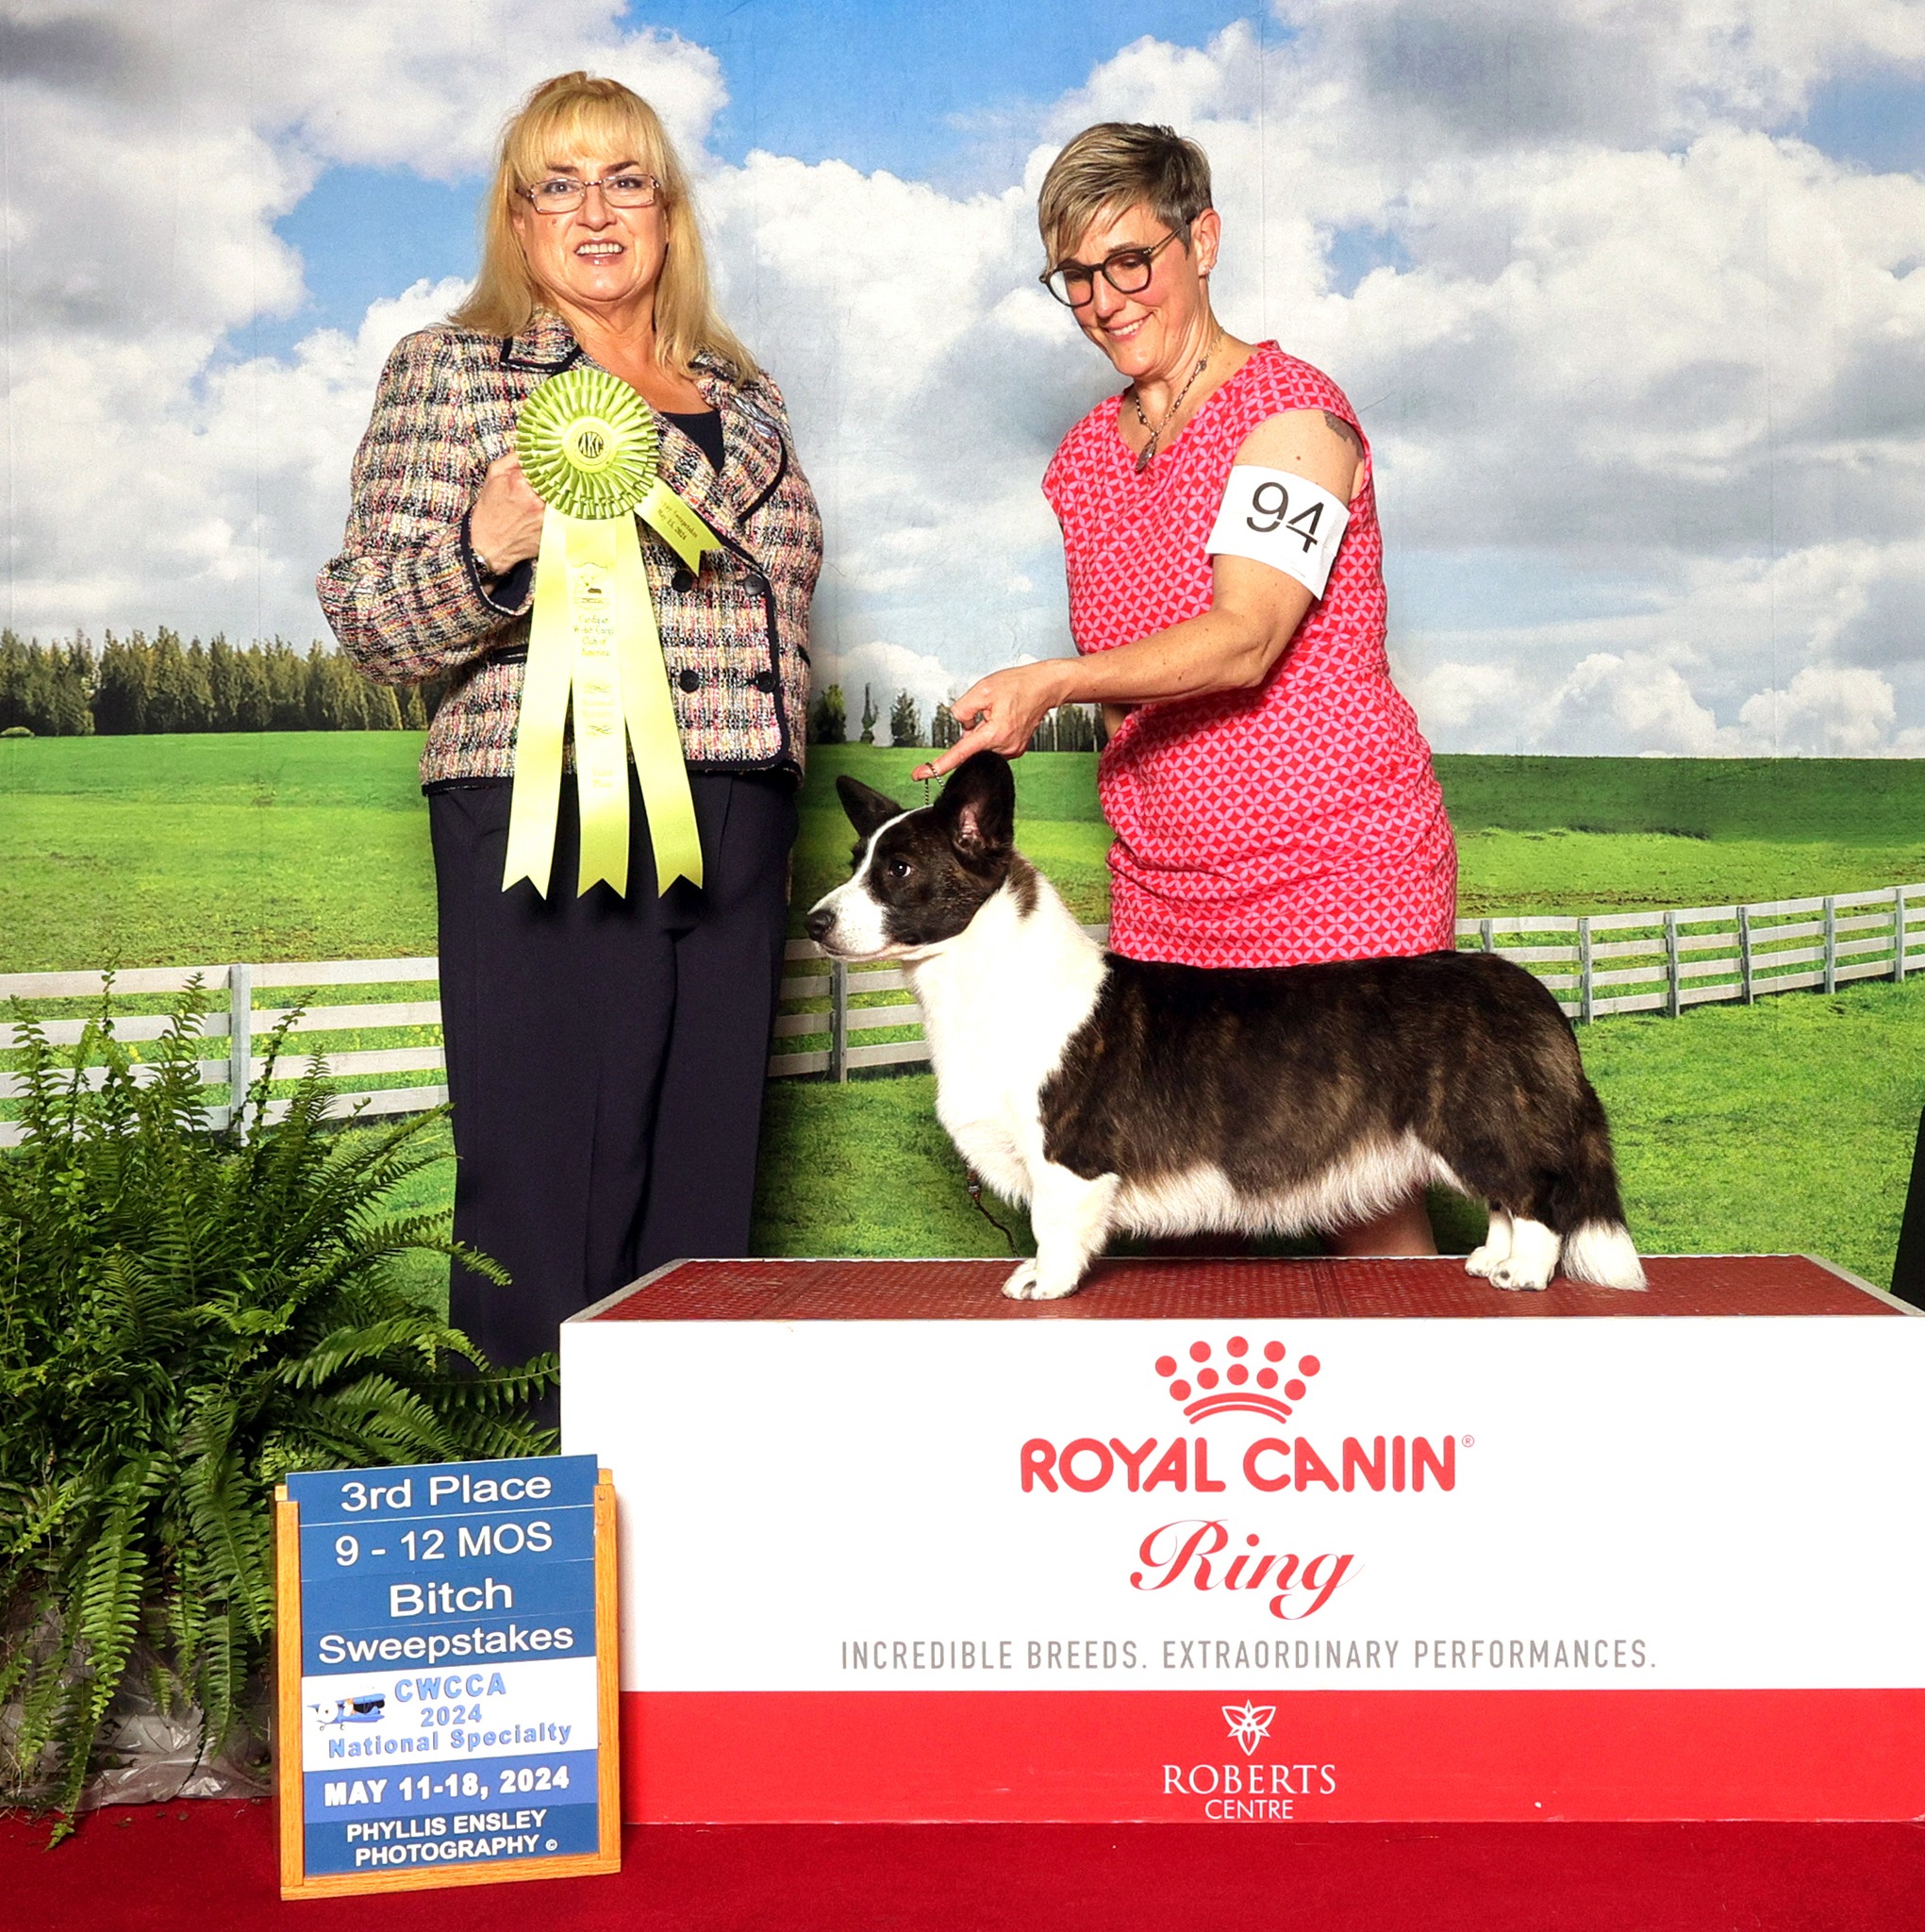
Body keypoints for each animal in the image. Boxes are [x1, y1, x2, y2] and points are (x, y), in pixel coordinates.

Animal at [805, 752, 1646, 1303]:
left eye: (899, 870)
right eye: (853, 861)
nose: (813, 922)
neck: (977, 975)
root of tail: (1529, 989)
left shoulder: (1066, 1158)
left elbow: (1052, 1226)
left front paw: (1044, 1284)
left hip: (1479, 1121)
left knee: (1537, 1197)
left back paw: (1525, 1276)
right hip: (1472, 1130)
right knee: (1506, 1200)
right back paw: (1487, 1264)